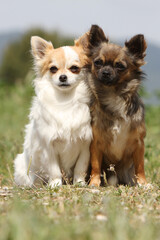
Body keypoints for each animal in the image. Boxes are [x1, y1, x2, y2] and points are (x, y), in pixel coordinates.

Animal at [15, 35, 93, 188]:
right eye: (53, 69)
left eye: (74, 68)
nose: (62, 77)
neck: (65, 100)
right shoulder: (48, 147)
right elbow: (54, 169)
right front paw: (55, 184)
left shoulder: (85, 145)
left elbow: (80, 168)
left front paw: (79, 183)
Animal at [84, 25, 147, 187]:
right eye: (98, 62)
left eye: (120, 66)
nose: (106, 72)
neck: (113, 94)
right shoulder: (95, 144)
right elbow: (95, 166)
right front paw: (94, 183)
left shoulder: (139, 143)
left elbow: (140, 166)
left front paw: (143, 183)